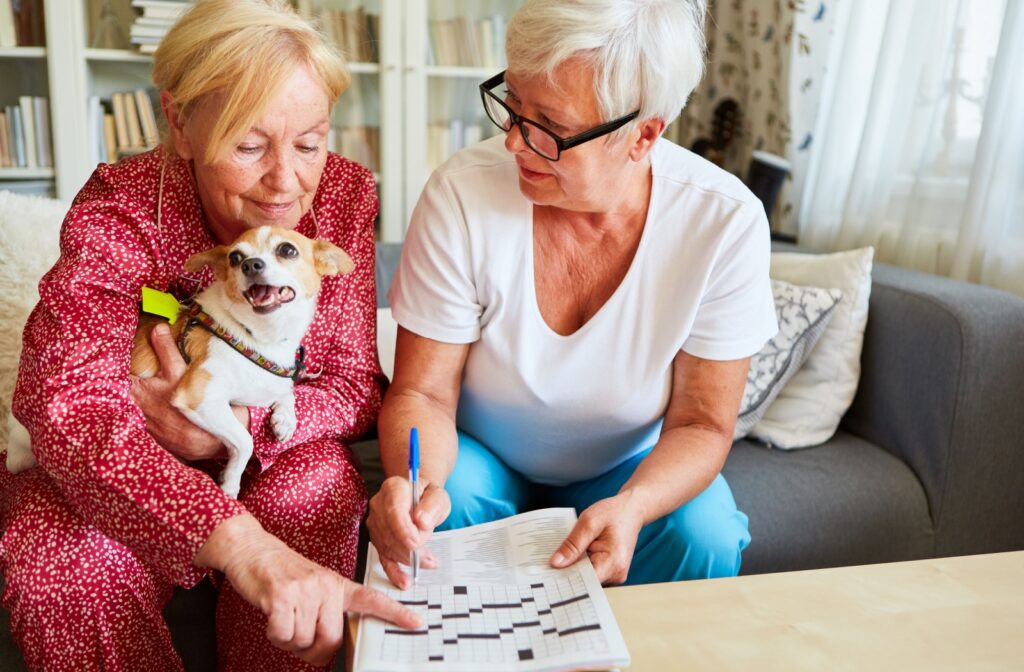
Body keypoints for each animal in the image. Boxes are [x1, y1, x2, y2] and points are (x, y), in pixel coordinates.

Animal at [6, 227, 354, 497]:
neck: (257, 337)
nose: (251, 264)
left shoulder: (267, 380)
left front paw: (285, 418)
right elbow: (244, 441)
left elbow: (284, 390)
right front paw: (230, 482)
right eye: (235, 257)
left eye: (287, 250)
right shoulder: (200, 397)